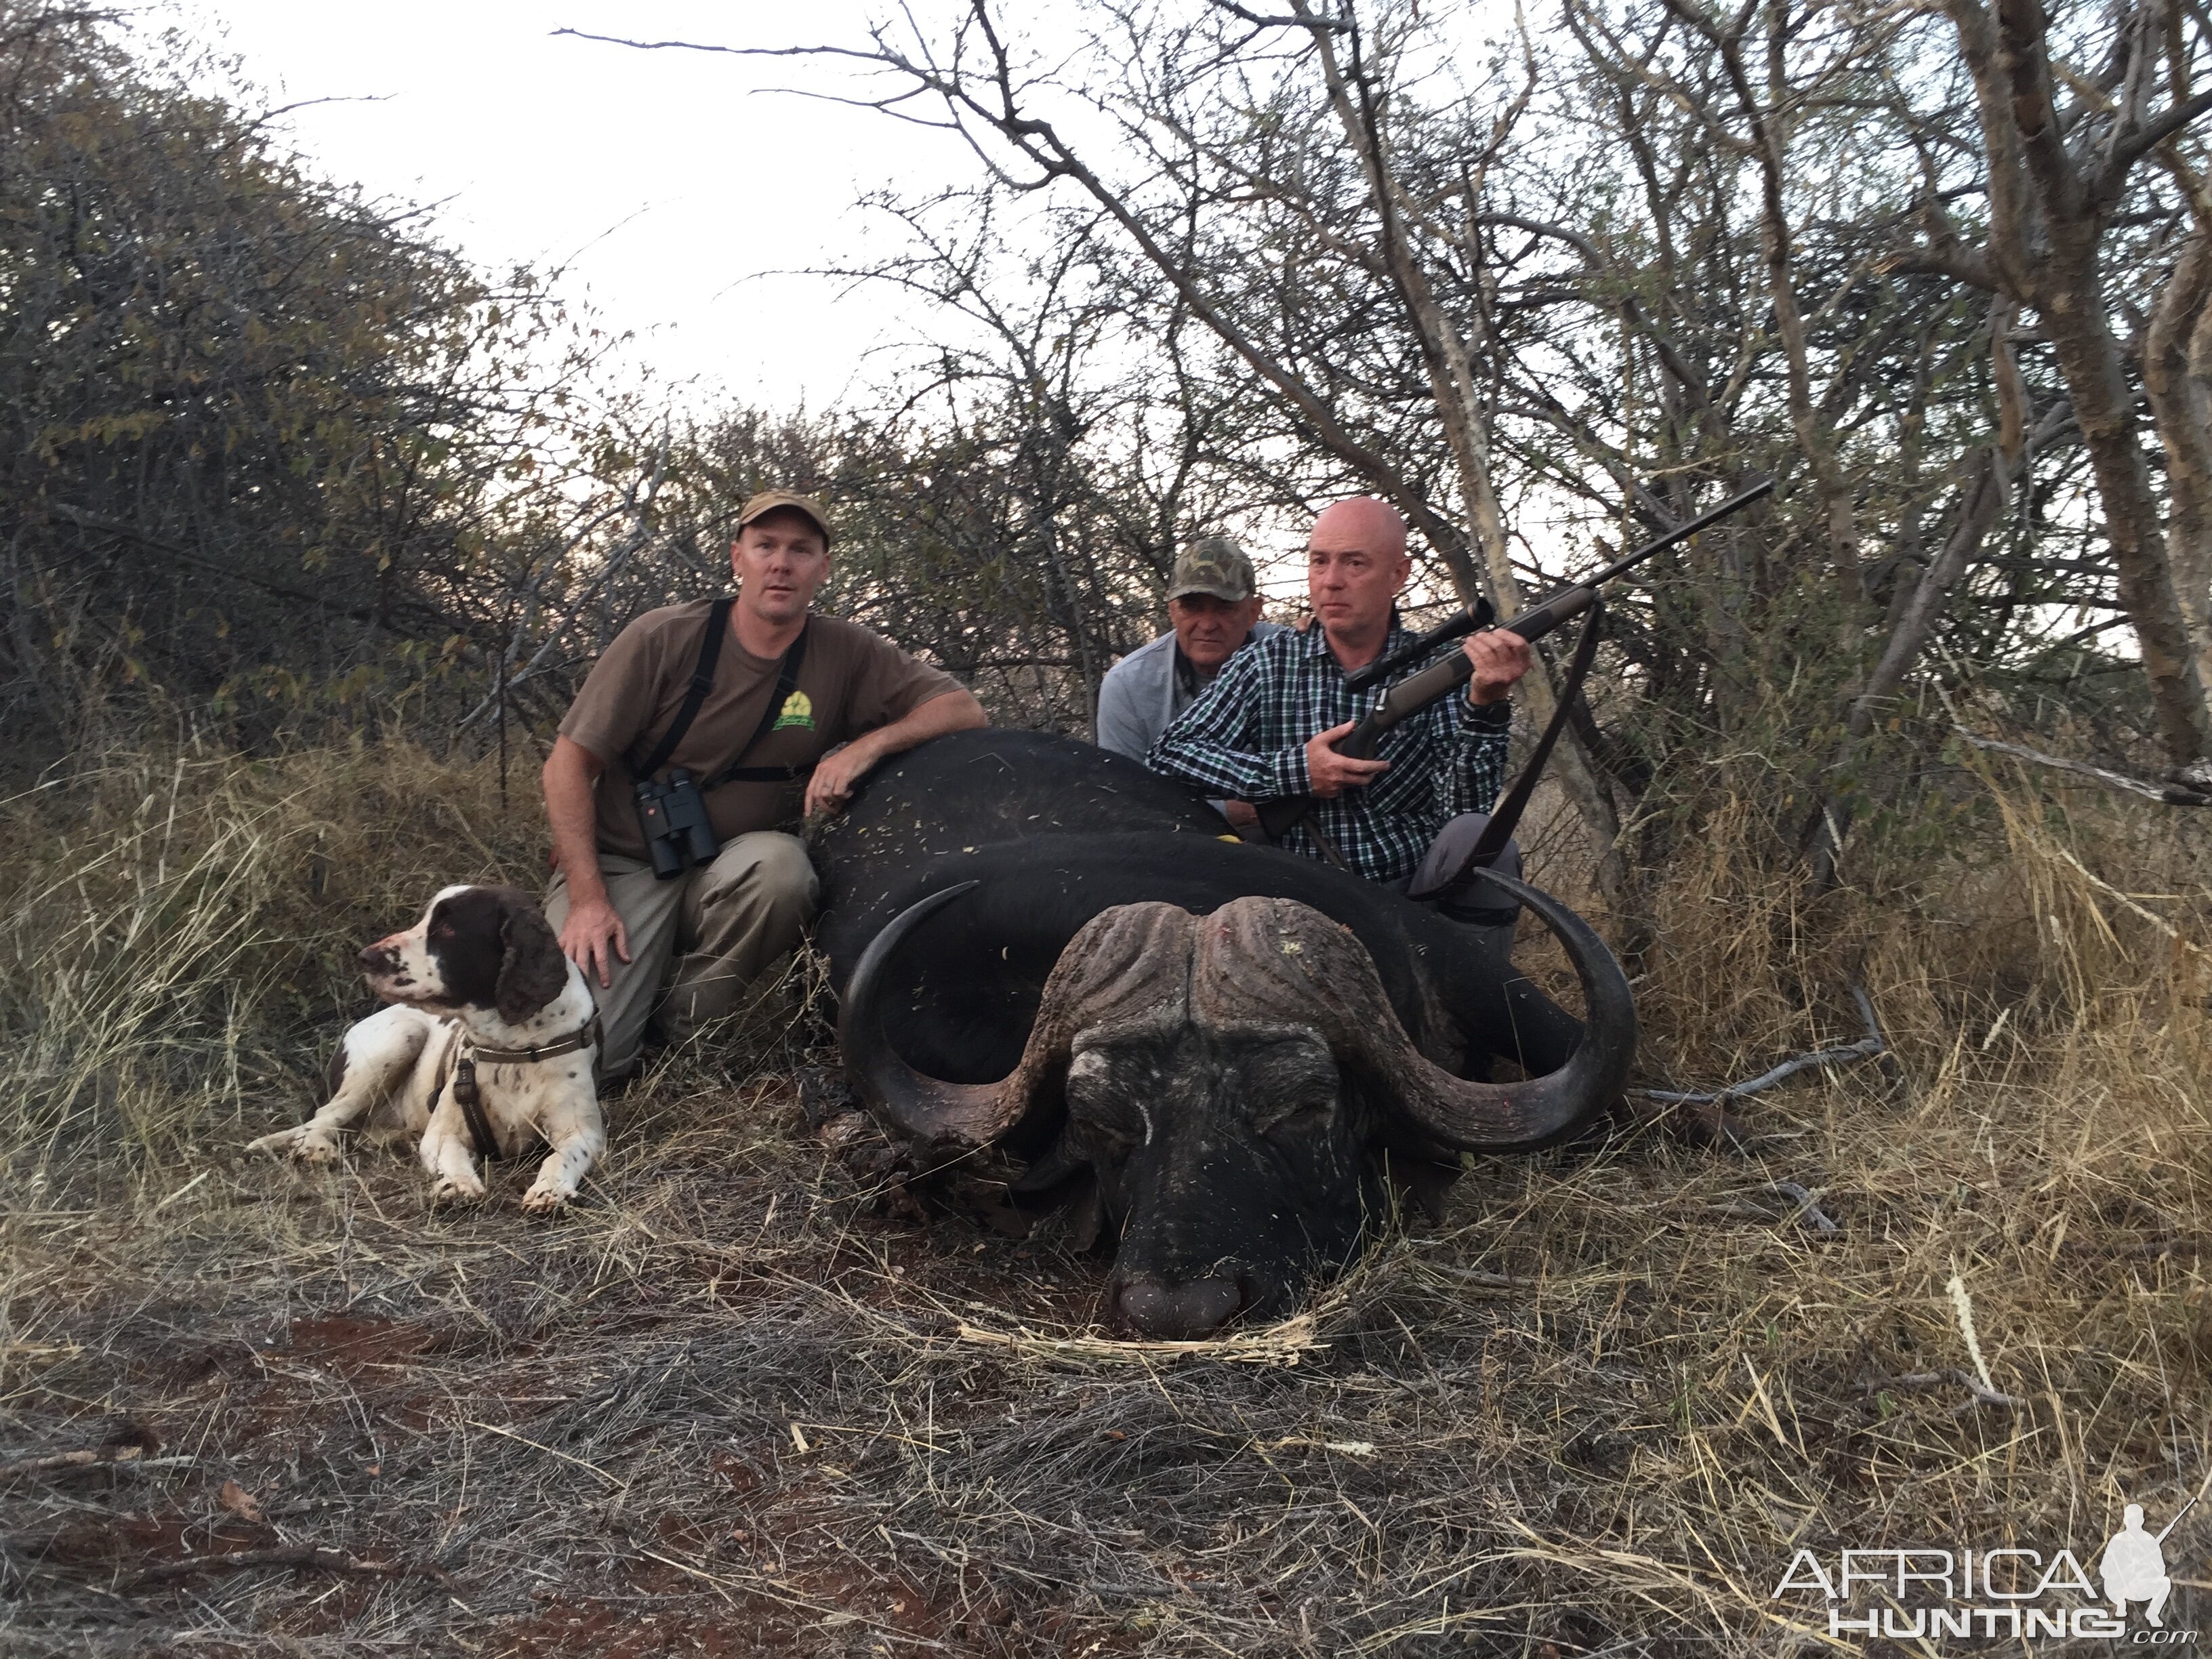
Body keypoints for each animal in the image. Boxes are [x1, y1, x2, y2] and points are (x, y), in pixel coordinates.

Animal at [251, 889, 606, 1212]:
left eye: (448, 928)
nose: (366, 957)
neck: (511, 1048)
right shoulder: (443, 1132)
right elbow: (453, 1157)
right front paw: (459, 1185)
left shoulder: (581, 1133)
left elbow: (560, 1158)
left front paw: (550, 1190)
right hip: (400, 1038)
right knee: (323, 1118)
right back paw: (315, 1149)